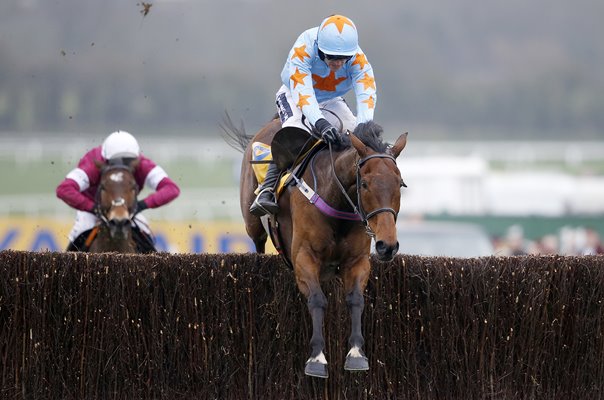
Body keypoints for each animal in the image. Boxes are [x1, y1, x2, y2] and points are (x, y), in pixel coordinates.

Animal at [224, 116, 408, 378]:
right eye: (364, 184)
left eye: (400, 184)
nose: (387, 246)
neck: (336, 200)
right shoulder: (304, 258)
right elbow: (318, 299)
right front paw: (317, 358)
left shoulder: (357, 261)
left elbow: (355, 299)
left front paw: (356, 354)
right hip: (253, 224)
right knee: (258, 242)